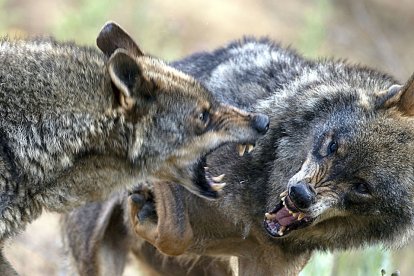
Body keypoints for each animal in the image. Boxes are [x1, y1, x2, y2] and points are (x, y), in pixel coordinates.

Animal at [63, 37, 414, 274]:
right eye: (332, 146)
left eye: (362, 187)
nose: (299, 195)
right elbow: (177, 230)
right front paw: (147, 213)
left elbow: (178, 235)